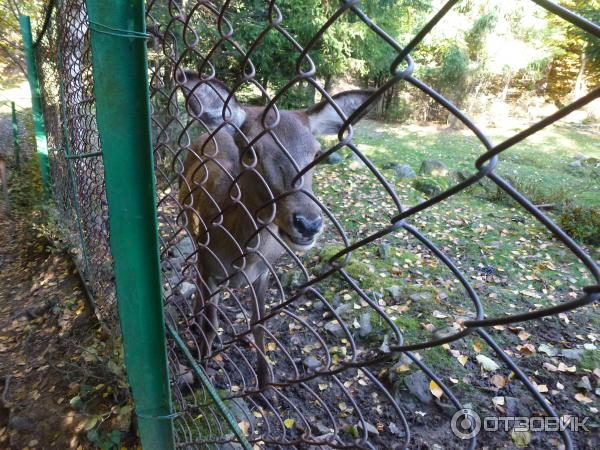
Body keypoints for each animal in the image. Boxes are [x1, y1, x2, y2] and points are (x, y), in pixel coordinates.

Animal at [176, 70, 378, 394]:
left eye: (317, 152)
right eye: (251, 152)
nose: (308, 223)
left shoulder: (264, 273)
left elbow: (260, 324)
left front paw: (266, 384)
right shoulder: (210, 264)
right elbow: (211, 323)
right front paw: (199, 376)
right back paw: (194, 323)